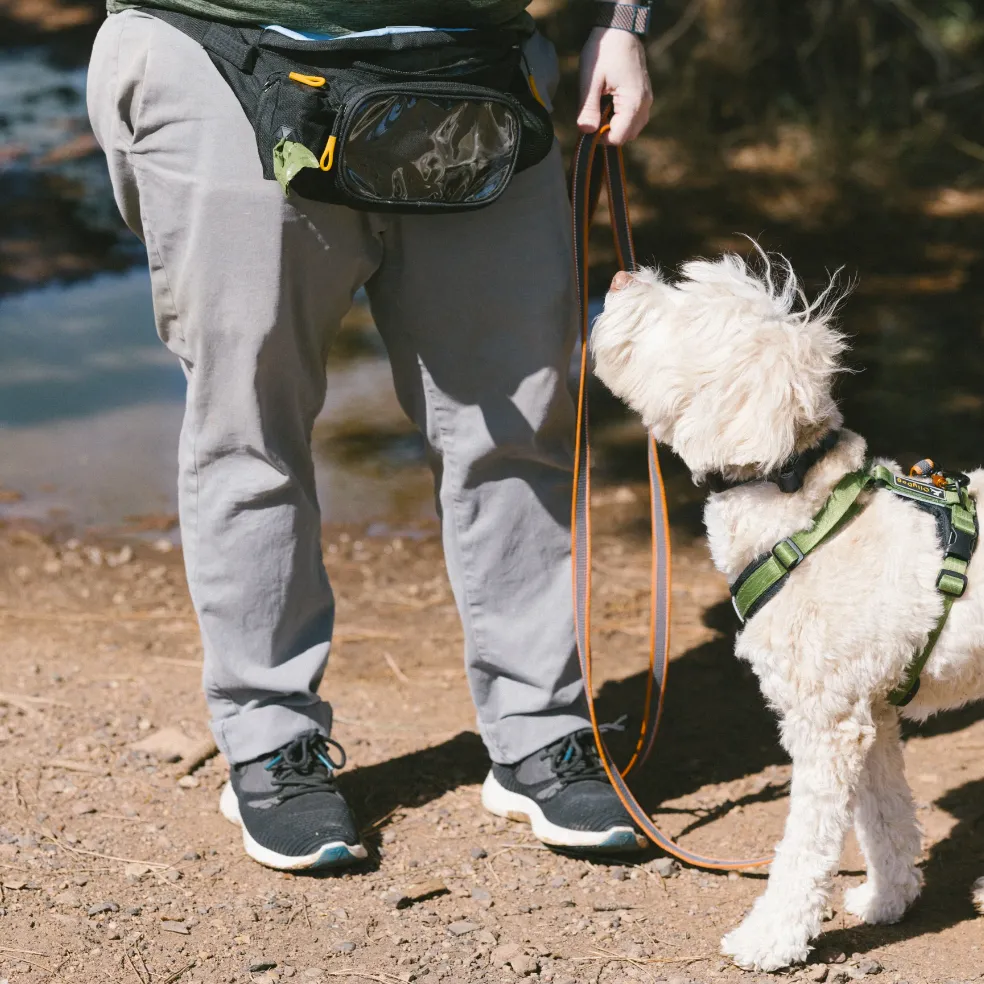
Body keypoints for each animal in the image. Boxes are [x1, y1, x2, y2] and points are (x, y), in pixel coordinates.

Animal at [588, 252, 984, 968]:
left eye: (687, 314)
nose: (618, 278)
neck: (806, 518)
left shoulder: (826, 724)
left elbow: (806, 844)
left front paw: (769, 938)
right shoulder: (871, 713)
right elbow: (883, 817)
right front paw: (887, 899)